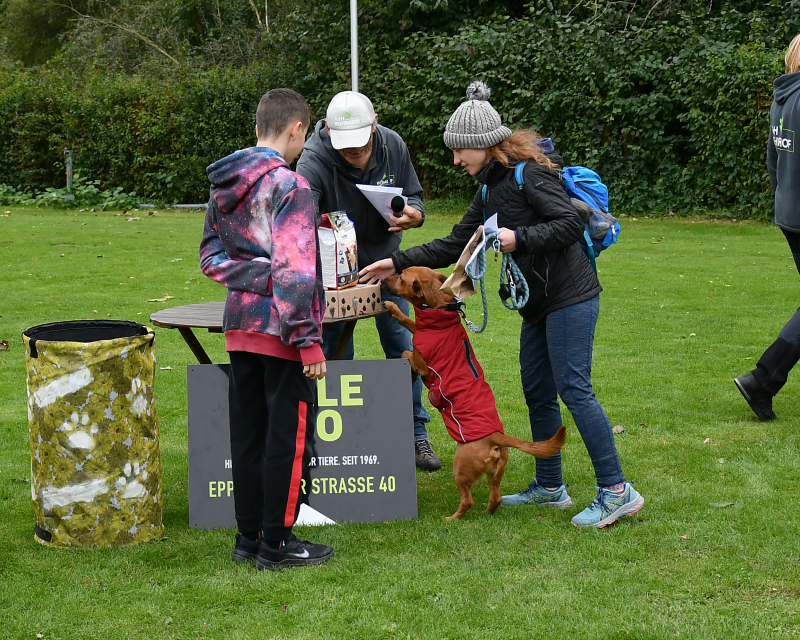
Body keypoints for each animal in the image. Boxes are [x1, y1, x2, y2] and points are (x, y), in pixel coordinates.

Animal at [383, 266, 566, 519]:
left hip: (461, 467)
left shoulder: (423, 364)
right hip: (495, 474)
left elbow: (406, 352)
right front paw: (394, 310)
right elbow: (409, 321)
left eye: (401, 277)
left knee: (467, 500)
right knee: (495, 497)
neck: (439, 312)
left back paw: (452, 518)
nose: (383, 279)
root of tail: (495, 436)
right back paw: (488, 512)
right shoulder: (419, 330)